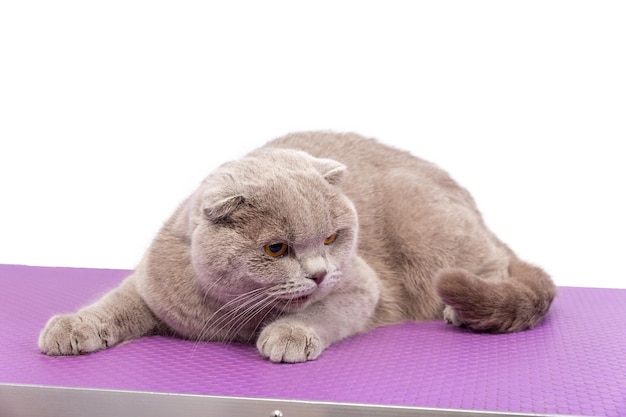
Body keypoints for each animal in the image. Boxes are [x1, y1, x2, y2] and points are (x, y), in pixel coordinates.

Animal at [39, 130, 552, 360]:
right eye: (276, 249)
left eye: (331, 238)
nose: (320, 272)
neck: (233, 313)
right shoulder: (154, 288)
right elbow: (114, 303)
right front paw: (72, 327)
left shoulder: (362, 287)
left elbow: (321, 310)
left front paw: (288, 335)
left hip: (431, 231)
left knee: (495, 267)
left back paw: (457, 310)